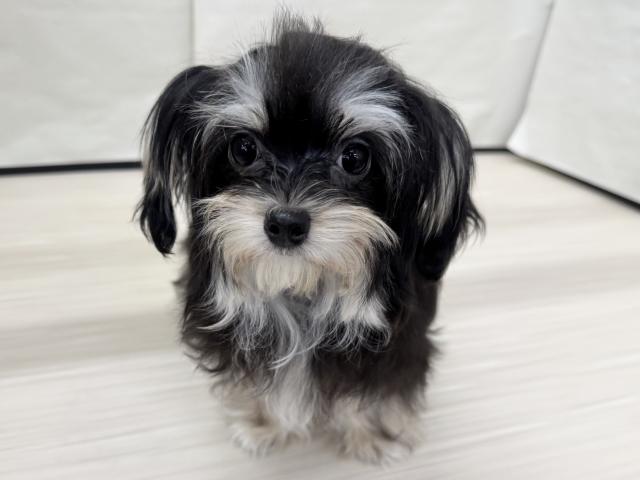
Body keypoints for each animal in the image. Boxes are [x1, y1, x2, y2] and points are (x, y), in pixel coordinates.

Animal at [137, 14, 482, 464]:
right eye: (243, 149)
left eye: (354, 157)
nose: (285, 223)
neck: (301, 289)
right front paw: (263, 424)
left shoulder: (395, 342)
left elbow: (375, 389)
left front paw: (373, 434)